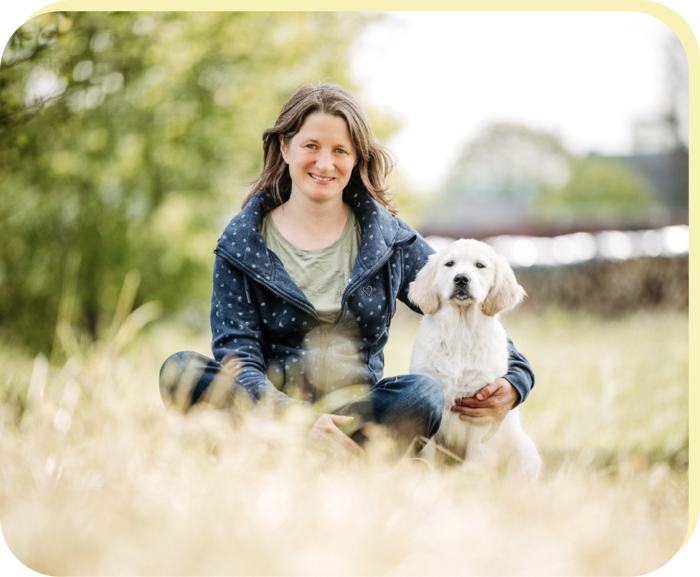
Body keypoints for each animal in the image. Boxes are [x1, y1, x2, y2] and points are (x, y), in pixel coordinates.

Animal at [410, 236, 540, 480]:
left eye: (480, 265)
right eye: (449, 264)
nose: (461, 278)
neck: (461, 331)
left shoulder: (484, 406)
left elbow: (478, 453)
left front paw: (469, 480)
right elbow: (427, 450)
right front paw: (424, 474)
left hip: (525, 450)